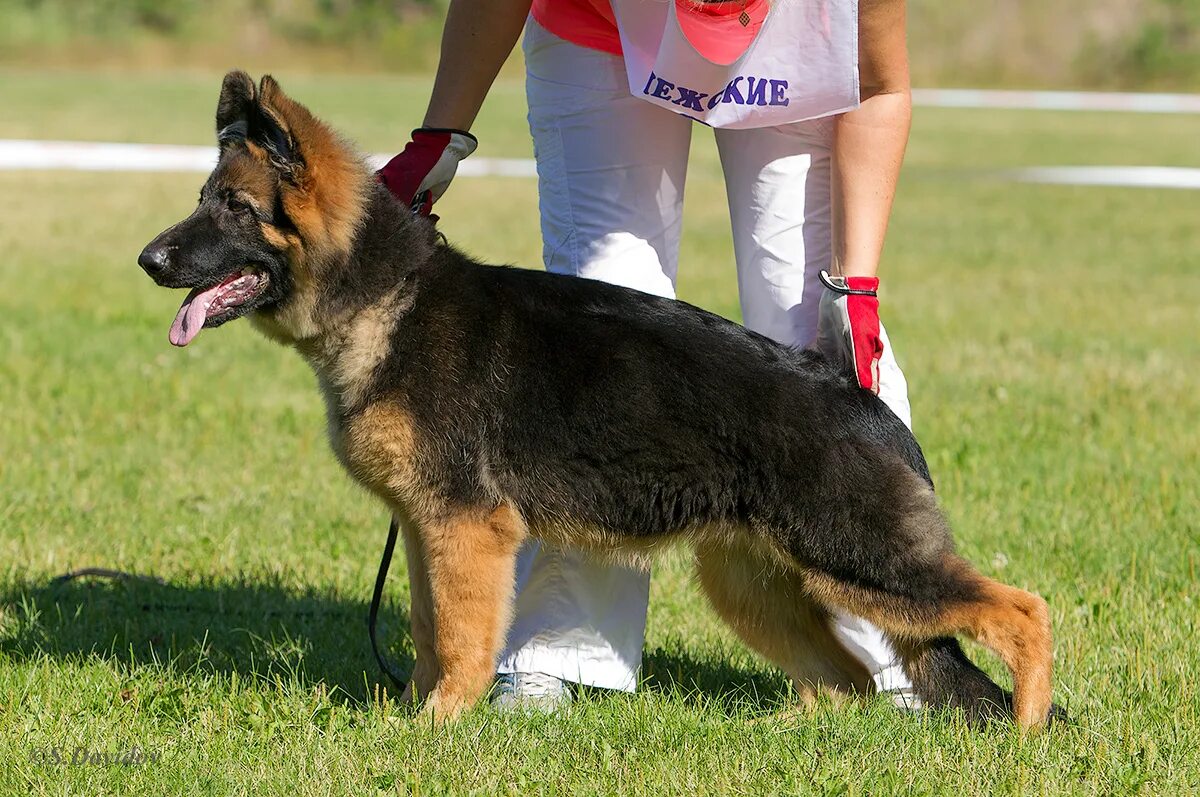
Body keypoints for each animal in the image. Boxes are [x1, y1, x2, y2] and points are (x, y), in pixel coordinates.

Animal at [140, 73, 1056, 729]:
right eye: (202, 199)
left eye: (233, 207)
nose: (148, 260)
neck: (384, 295)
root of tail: (857, 397)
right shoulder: (430, 531)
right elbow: (432, 632)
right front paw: (412, 713)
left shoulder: (465, 530)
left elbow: (463, 638)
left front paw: (436, 725)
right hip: (756, 580)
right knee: (851, 680)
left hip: (860, 558)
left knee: (1020, 610)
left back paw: (1027, 729)